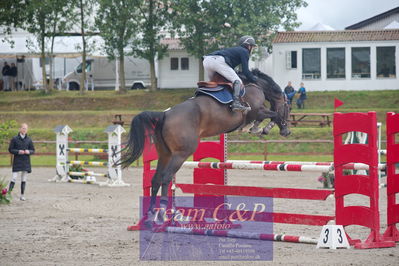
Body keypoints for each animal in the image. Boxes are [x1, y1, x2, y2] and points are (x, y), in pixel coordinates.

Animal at [119, 68, 290, 222]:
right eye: (288, 107)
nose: (287, 131)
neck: (255, 85)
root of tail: (164, 114)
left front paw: (256, 128)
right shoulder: (256, 111)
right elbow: (274, 114)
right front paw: (262, 128)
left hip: (165, 154)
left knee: (155, 179)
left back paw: (150, 215)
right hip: (181, 154)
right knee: (166, 178)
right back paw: (163, 214)